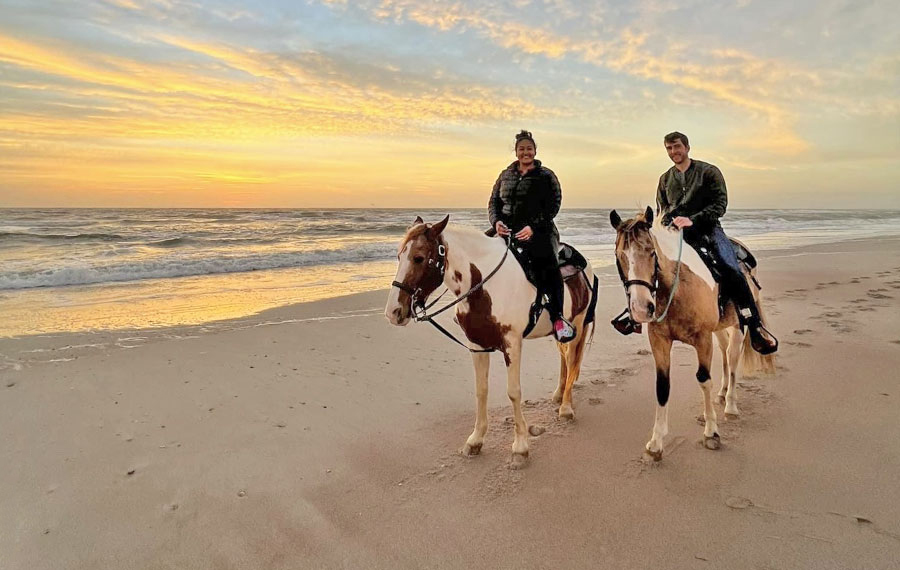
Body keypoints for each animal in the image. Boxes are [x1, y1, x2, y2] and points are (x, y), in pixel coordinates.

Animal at [384, 213, 596, 466]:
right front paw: (475, 440)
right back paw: (559, 394)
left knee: (573, 360)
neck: (485, 286)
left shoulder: (512, 344)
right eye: (399, 256)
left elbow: (514, 392)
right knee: (564, 359)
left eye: (419, 257)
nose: (393, 312)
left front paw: (520, 447)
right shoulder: (476, 346)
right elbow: (481, 390)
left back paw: (566, 408)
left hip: (579, 324)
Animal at [608, 206, 776, 460]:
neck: (677, 288)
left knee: (733, 360)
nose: (641, 309)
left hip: (738, 327)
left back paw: (730, 405)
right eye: (620, 256)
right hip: (720, 330)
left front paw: (711, 432)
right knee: (725, 354)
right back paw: (722, 393)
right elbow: (662, 386)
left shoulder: (702, 339)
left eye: (652, 253)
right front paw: (656, 442)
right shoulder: (659, 341)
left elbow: (703, 380)